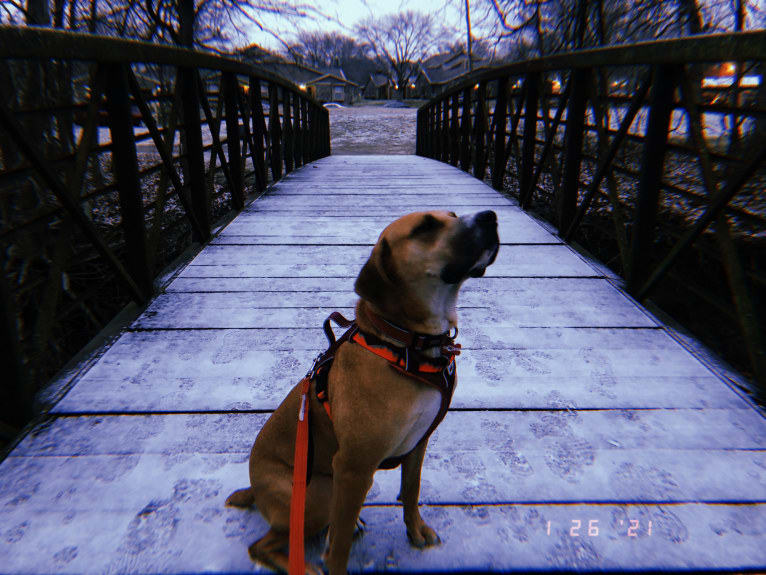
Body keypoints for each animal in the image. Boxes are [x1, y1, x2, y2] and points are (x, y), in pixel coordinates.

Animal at [226, 212, 504, 575]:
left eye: (454, 216)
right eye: (426, 227)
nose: (490, 217)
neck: (407, 344)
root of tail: (255, 488)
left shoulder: (419, 442)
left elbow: (411, 490)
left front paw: (415, 530)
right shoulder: (352, 467)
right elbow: (339, 546)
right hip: (320, 492)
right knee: (264, 543)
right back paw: (305, 565)